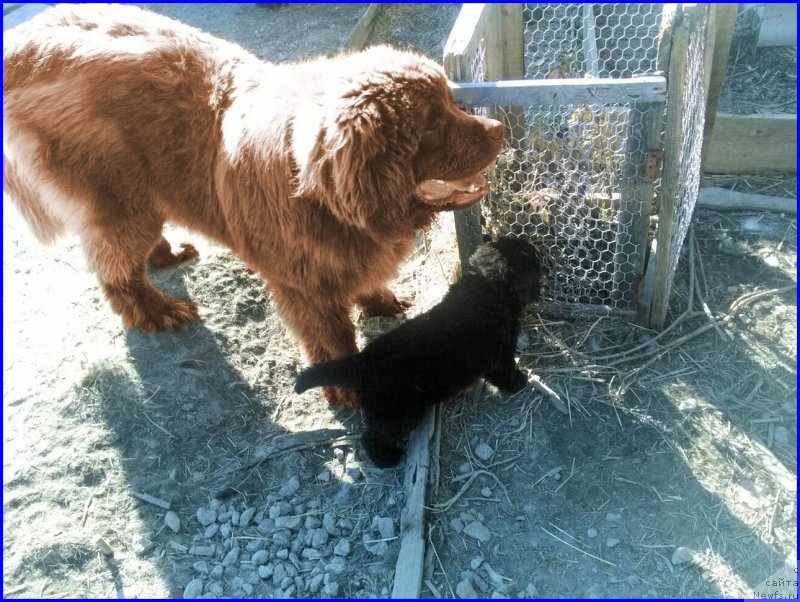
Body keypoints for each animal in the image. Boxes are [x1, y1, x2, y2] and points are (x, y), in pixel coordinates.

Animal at [3, 3, 504, 408]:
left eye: (451, 101)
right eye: (431, 125)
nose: (499, 129)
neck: (318, 196)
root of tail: (24, 40)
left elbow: (363, 279)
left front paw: (380, 300)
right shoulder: (302, 285)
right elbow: (332, 336)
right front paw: (344, 388)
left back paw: (167, 255)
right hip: (120, 203)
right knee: (114, 270)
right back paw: (157, 312)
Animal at [294, 237, 544, 466]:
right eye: (533, 261)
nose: (534, 246)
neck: (485, 292)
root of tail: (362, 362)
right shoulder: (500, 355)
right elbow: (505, 372)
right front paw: (519, 382)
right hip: (401, 411)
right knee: (372, 436)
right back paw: (387, 459)